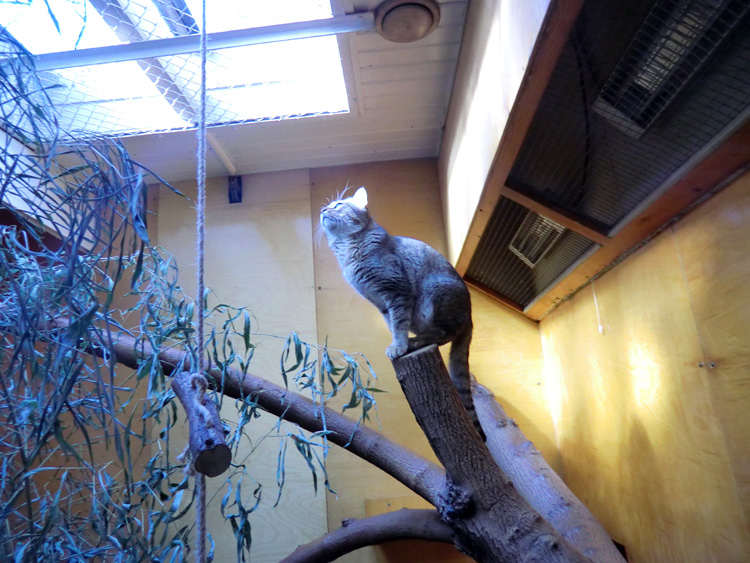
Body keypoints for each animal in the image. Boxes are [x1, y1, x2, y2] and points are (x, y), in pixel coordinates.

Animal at [318, 187, 484, 438]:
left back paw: (417, 342)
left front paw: (400, 346)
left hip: (434, 295)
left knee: (444, 334)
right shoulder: (381, 303)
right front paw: (399, 343)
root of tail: (471, 316)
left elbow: (398, 324)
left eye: (337, 205)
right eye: (329, 205)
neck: (349, 249)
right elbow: (394, 324)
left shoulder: (396, 290)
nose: (322, 210)